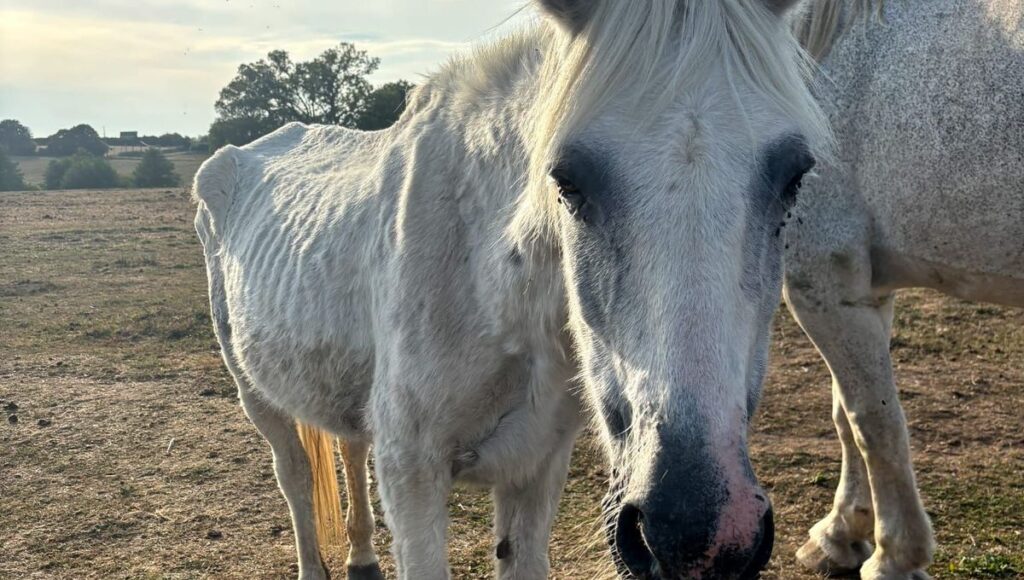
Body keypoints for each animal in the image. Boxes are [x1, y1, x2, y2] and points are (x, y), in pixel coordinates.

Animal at [192, 1, 832, 578]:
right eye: (566, 179)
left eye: (796, 176)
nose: (696, 536)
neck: (490, 286)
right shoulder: (412, 477)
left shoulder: (536, 468)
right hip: (254, 392)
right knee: (296, 479)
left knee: (348, 446)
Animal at [785, 1, 1024, 578]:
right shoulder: (864, 290)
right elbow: (844, 412)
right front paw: (840, 534)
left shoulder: (820, 283)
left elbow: (873, 422)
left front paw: (895, 555)